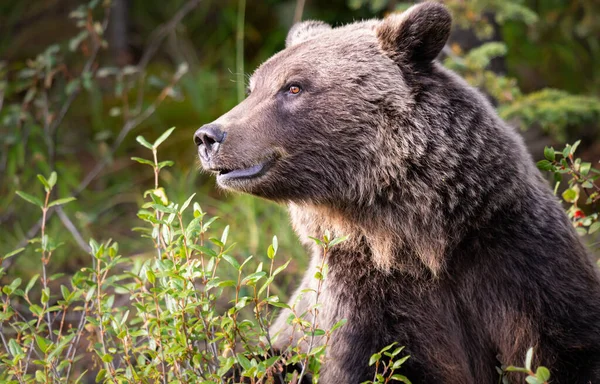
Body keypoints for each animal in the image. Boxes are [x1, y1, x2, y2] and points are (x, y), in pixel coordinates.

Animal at [195, 1, 600, 382]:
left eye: (293, 86)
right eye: (253, 88)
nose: (208, 136)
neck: (417, 240)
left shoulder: (517, 258)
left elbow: (565, 348)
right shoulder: (364, 298)